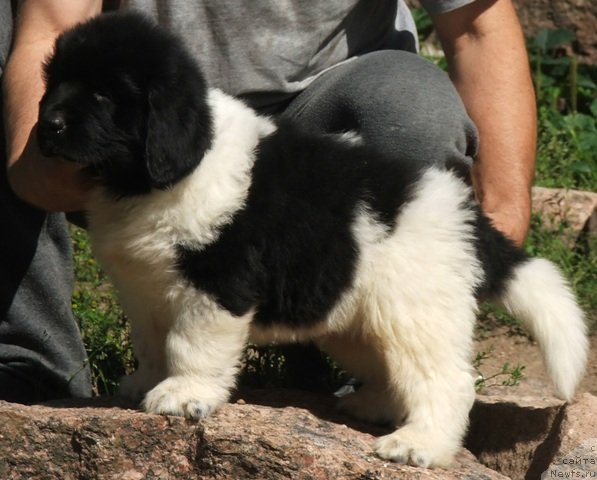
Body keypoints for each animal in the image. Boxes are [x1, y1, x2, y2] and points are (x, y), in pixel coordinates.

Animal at [36, 12, 588, 468]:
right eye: (54, 83)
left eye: (105, 95)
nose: (47, 126)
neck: (146, 179)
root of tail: (463, 211)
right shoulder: (144, 287)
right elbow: (152, 343)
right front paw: (143, 384)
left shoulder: (217, 284)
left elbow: (190, 343)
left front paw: (183, 395)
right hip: (356, 317)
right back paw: (373, 405)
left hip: (415, 310)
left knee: (446, 381)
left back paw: (419, 445)